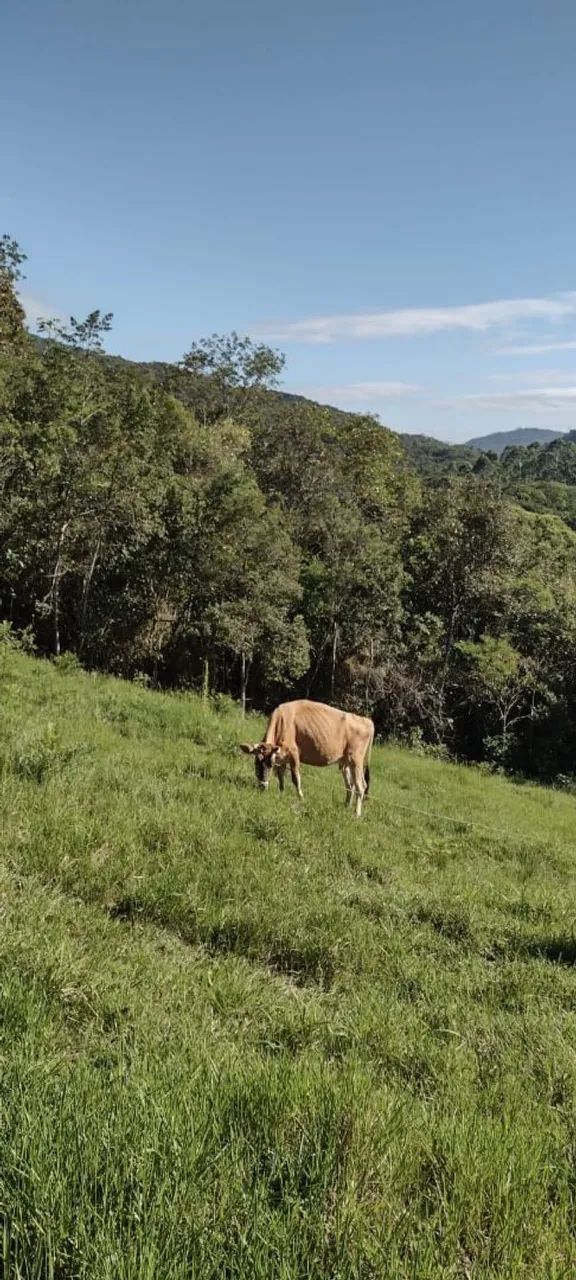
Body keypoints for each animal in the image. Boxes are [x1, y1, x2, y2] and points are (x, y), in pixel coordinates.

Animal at [240, 699, 374, 817]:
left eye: (270, 764)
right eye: (256, 763)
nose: (262, 786)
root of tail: (367, 720)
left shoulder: (294, 753)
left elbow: (295, 778)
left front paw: (301, 798)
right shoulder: (282, 757)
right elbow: (280, 775)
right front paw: (281, 792)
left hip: (356, 760)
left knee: (361, 786)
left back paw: (356, 814)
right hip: (346, 763)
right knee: (350, 785)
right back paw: (346, 806)